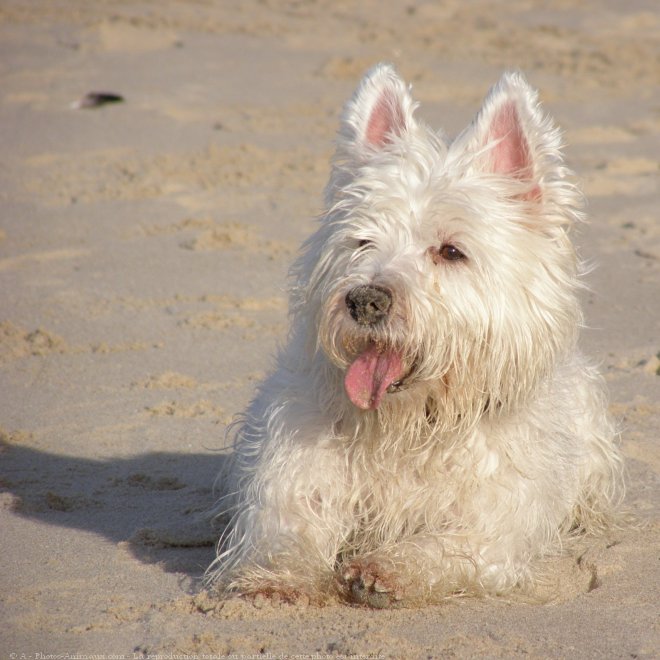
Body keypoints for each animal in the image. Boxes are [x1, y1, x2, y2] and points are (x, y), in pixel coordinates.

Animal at [210, 64, 624, 604]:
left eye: (450, 251)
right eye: (362, 241)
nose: (365, 300)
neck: (411, 425)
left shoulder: (496, 521)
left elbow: (451, 547)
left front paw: (385, 569)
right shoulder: (294, 473)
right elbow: (288, 526)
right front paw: (274, 579)